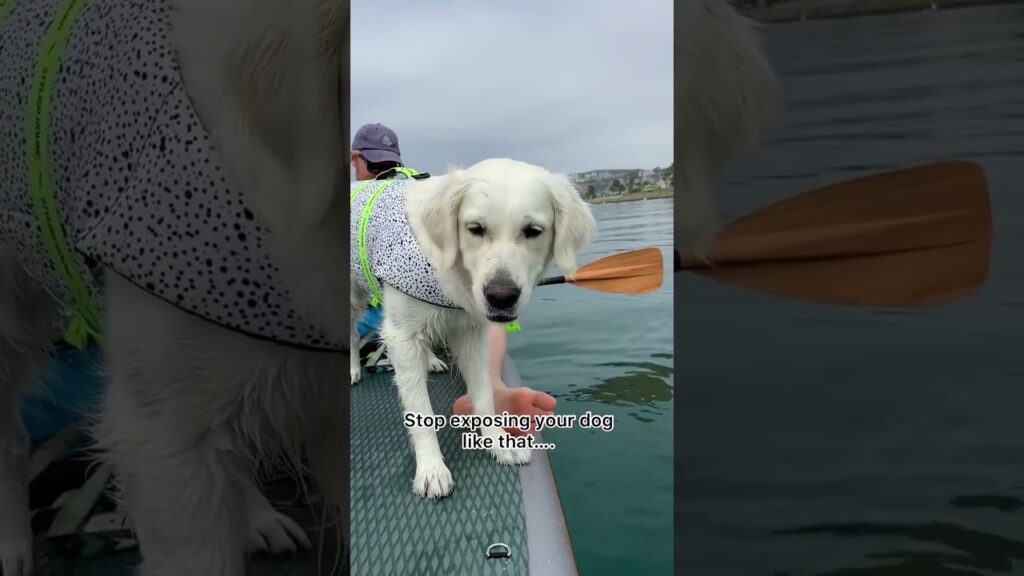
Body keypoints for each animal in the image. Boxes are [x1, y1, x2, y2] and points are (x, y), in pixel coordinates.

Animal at [350, 159, 598, 498]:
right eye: (475, 229)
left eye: (533, 231)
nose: (501, 296)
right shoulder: (402, 335)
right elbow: (421, 413)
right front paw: (431, 469)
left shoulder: (471, 332)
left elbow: (484, 395)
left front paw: (496, 442)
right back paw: (352, 369)